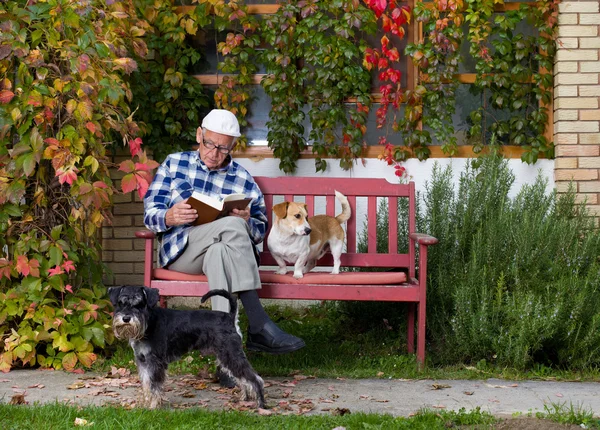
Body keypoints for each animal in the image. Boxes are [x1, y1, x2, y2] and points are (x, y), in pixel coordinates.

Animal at [109, 288, 264, 408]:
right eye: (121, 303)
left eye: (140, 304)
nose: (126, 318)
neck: (149, 322)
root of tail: (230, 317)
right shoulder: (142, 361)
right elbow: (146, 383)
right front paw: (146, 403)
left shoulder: (155, 362)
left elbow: (154, 386)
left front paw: (153, 406)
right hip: (227, 356)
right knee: (242, 377)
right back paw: (245, 398)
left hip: (230, 354)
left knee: (255, 378)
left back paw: (261, 404)